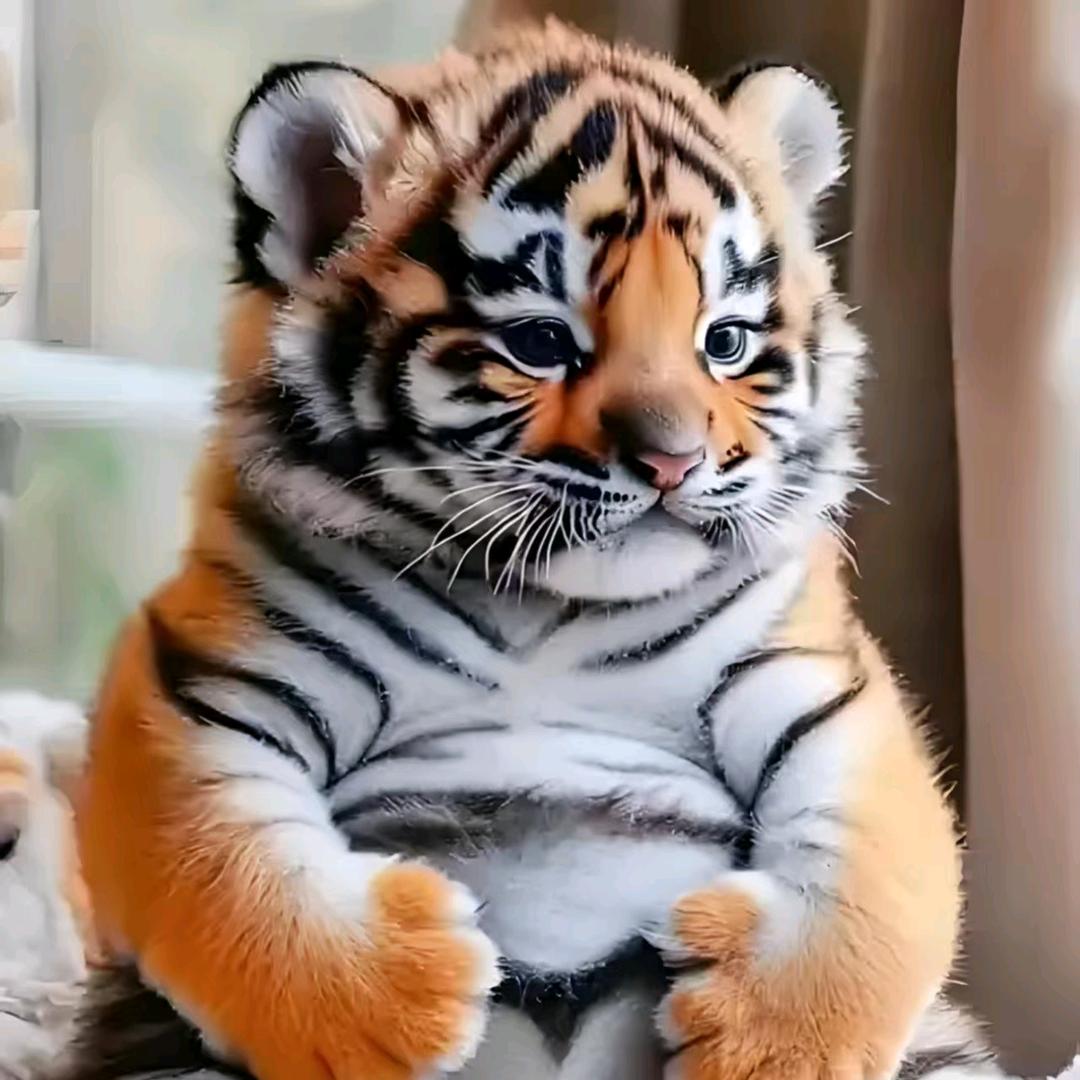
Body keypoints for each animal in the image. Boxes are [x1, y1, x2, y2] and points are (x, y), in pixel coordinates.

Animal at [61, 19, 1003, 1080]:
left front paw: (767, 1043)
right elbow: (231, 870)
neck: (545, 606)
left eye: (722, 342)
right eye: (543, 343)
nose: (674, 460)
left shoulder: (820, 679)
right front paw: (403, 1009)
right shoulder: (211, 681)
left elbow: (874, 871)